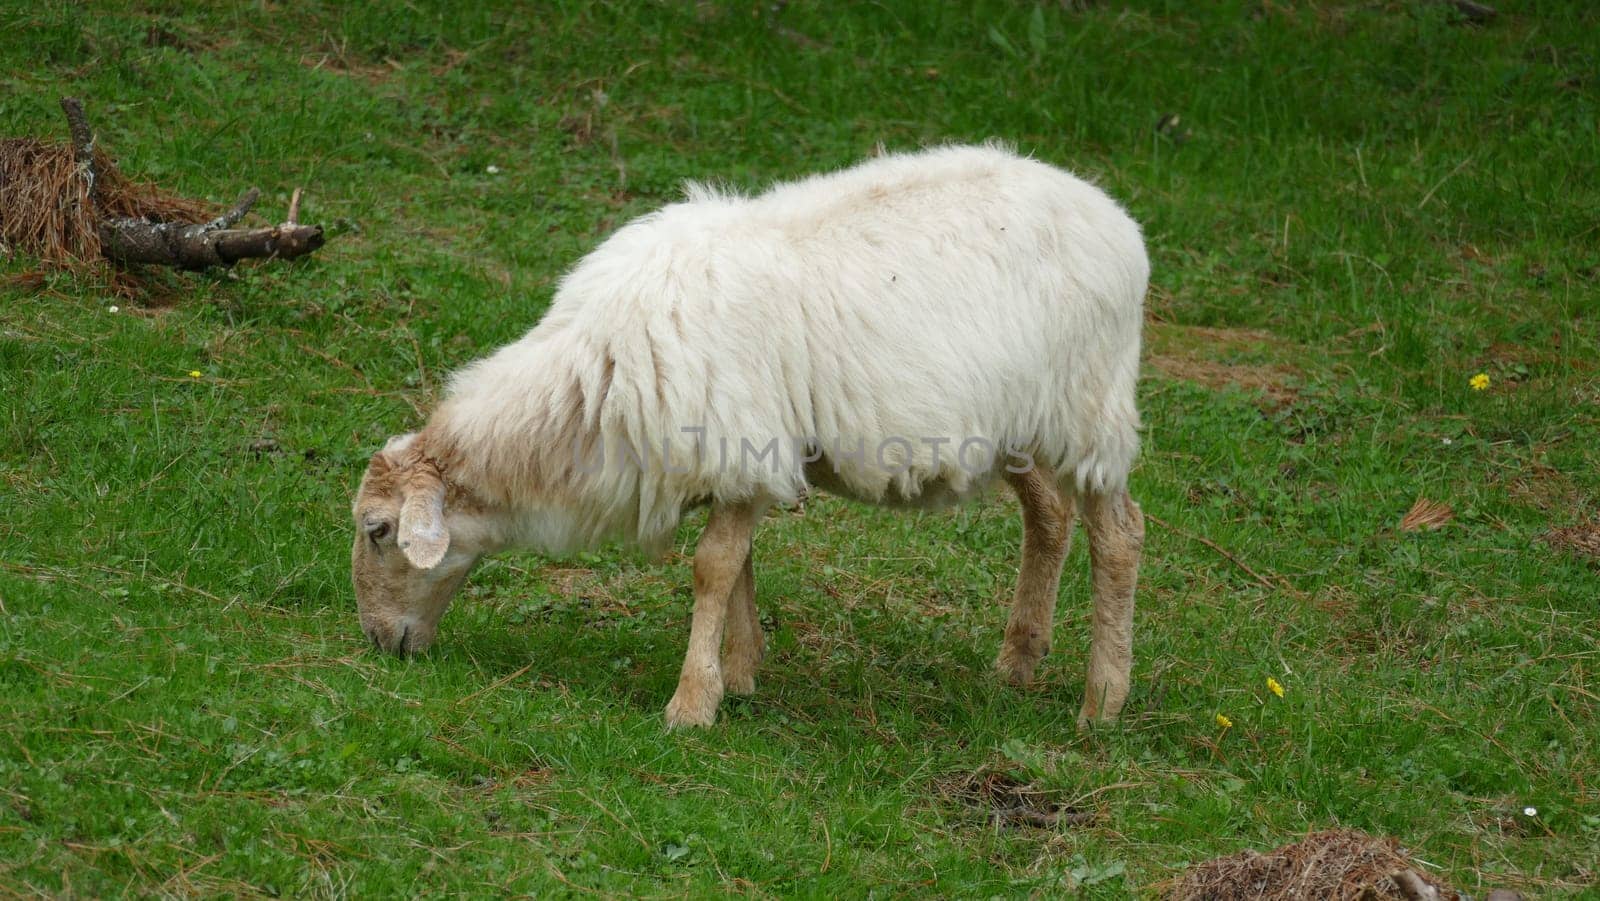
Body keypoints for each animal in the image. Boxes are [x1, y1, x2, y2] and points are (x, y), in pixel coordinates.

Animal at [352, 142, 1152, 732]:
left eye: (378, 530)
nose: (378, 642)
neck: (587, 385)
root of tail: (1116, 219)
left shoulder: (737, 442)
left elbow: (711, 566)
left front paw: (690, 704)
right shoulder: (732, 455)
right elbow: (735, 566)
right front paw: (738, 672)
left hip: (1089, 410)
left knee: (1120, 534)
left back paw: (1102, 702)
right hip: (1021, 420)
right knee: (1048, 514)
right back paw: (1018, 661)